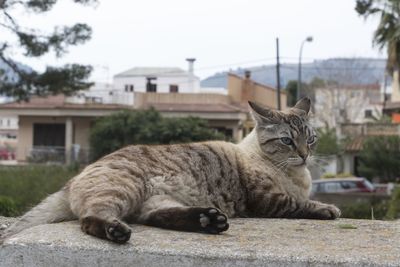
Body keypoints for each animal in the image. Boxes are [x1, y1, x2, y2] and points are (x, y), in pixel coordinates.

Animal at [0, 98, 340, 245]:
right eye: (287, 141)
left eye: (310, 139)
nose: (305, 155)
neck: (296, 175)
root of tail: (71, 181)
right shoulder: (268, 200)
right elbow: (302, 204)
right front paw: (329, 209)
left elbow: (303, 200)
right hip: (125, 188)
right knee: (91, 219)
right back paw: (117, 232)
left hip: (156, 199)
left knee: (157, 217)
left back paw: (209, 221)